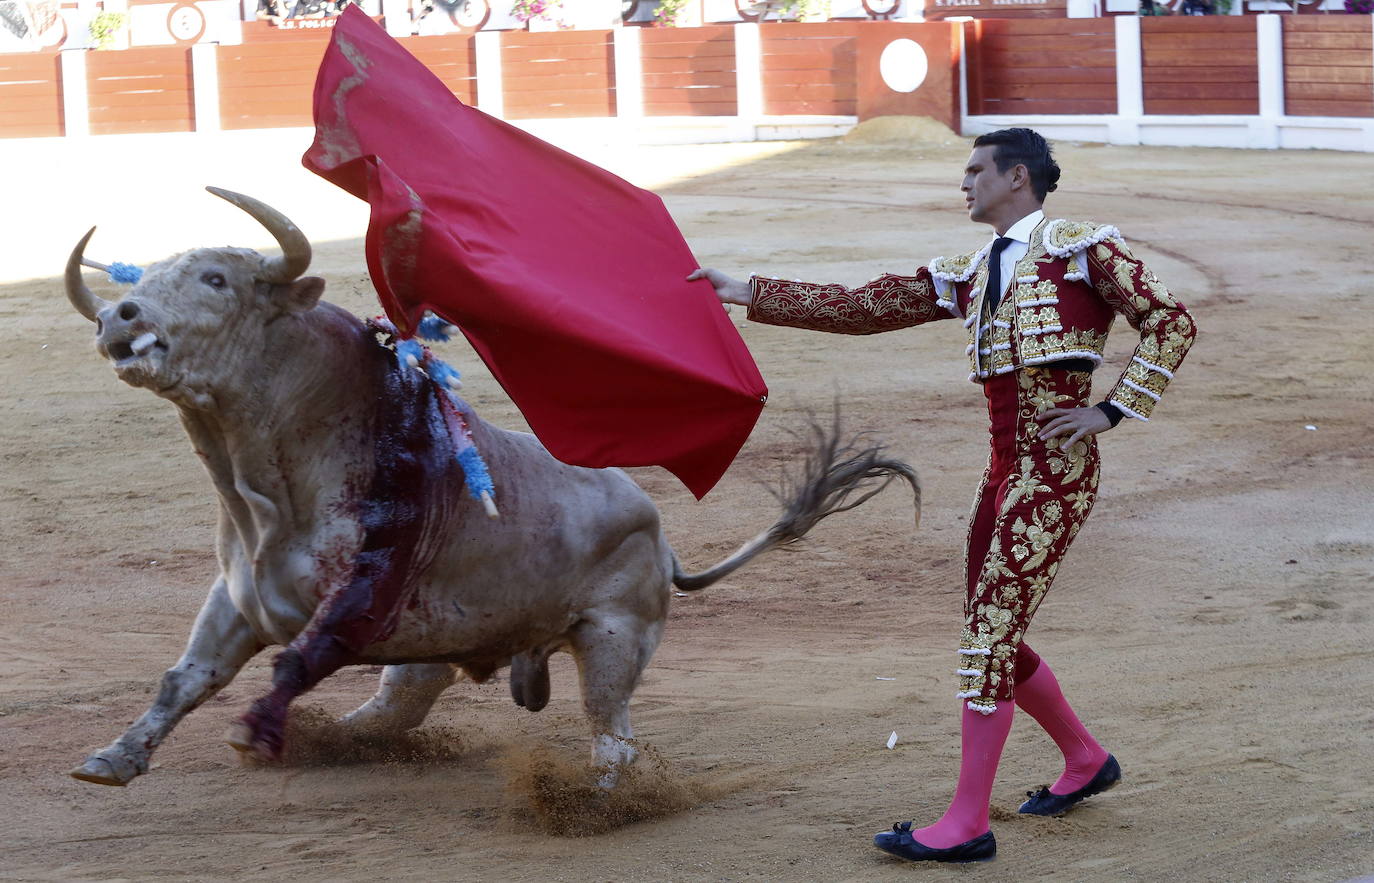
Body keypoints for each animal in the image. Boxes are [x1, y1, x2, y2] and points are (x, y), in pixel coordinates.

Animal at [66, 186, 923, 785]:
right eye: (154, 274)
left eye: (216, 277)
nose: (120, 315)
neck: (264, 489)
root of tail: (663, 535)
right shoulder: (239, 597)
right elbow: (185, 677)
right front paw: (112, 758)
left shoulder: (358, 592)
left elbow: (295, 659)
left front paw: (250, 731)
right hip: (432, 653)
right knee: (399, 704)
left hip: (614, 633)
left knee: (612, 728)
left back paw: (592, 797)